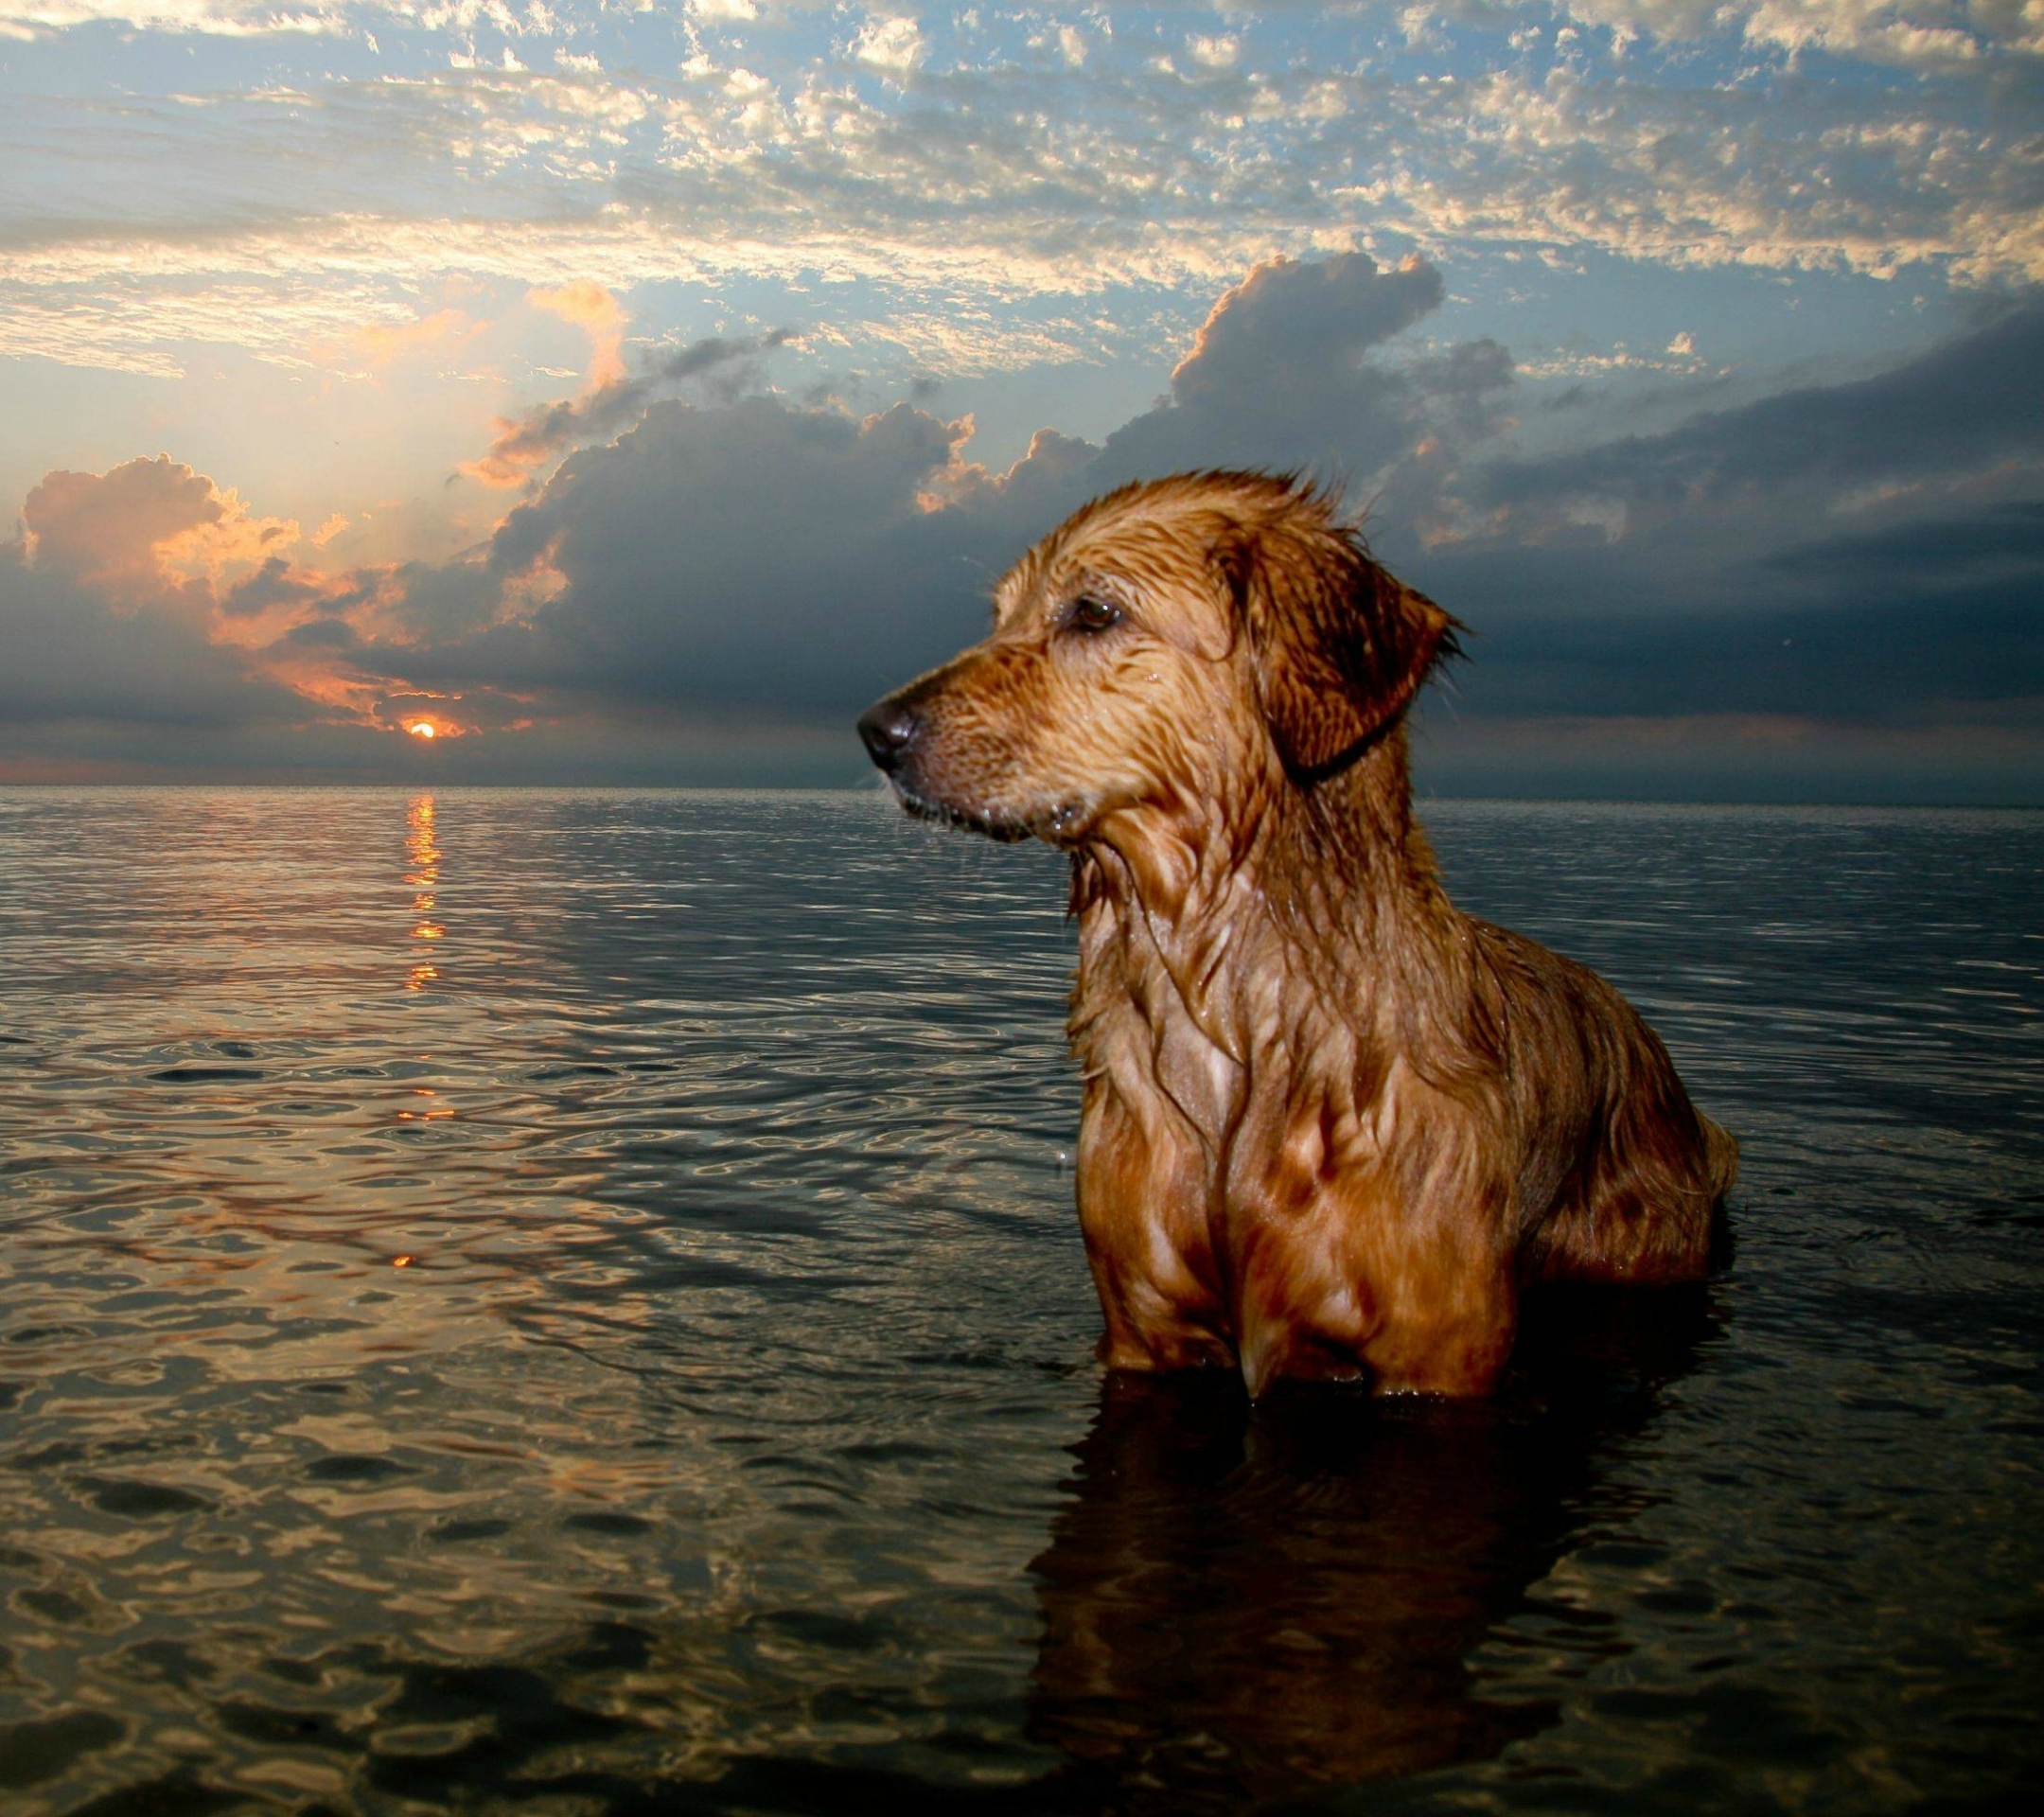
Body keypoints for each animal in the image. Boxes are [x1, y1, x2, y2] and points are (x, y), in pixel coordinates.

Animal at [854, 467, 1733, 1389]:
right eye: (1000, 618)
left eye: (1094, 612)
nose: (876, 731)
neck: (1233, 1020)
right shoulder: (1144, 1330)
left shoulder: (1438, 1349)